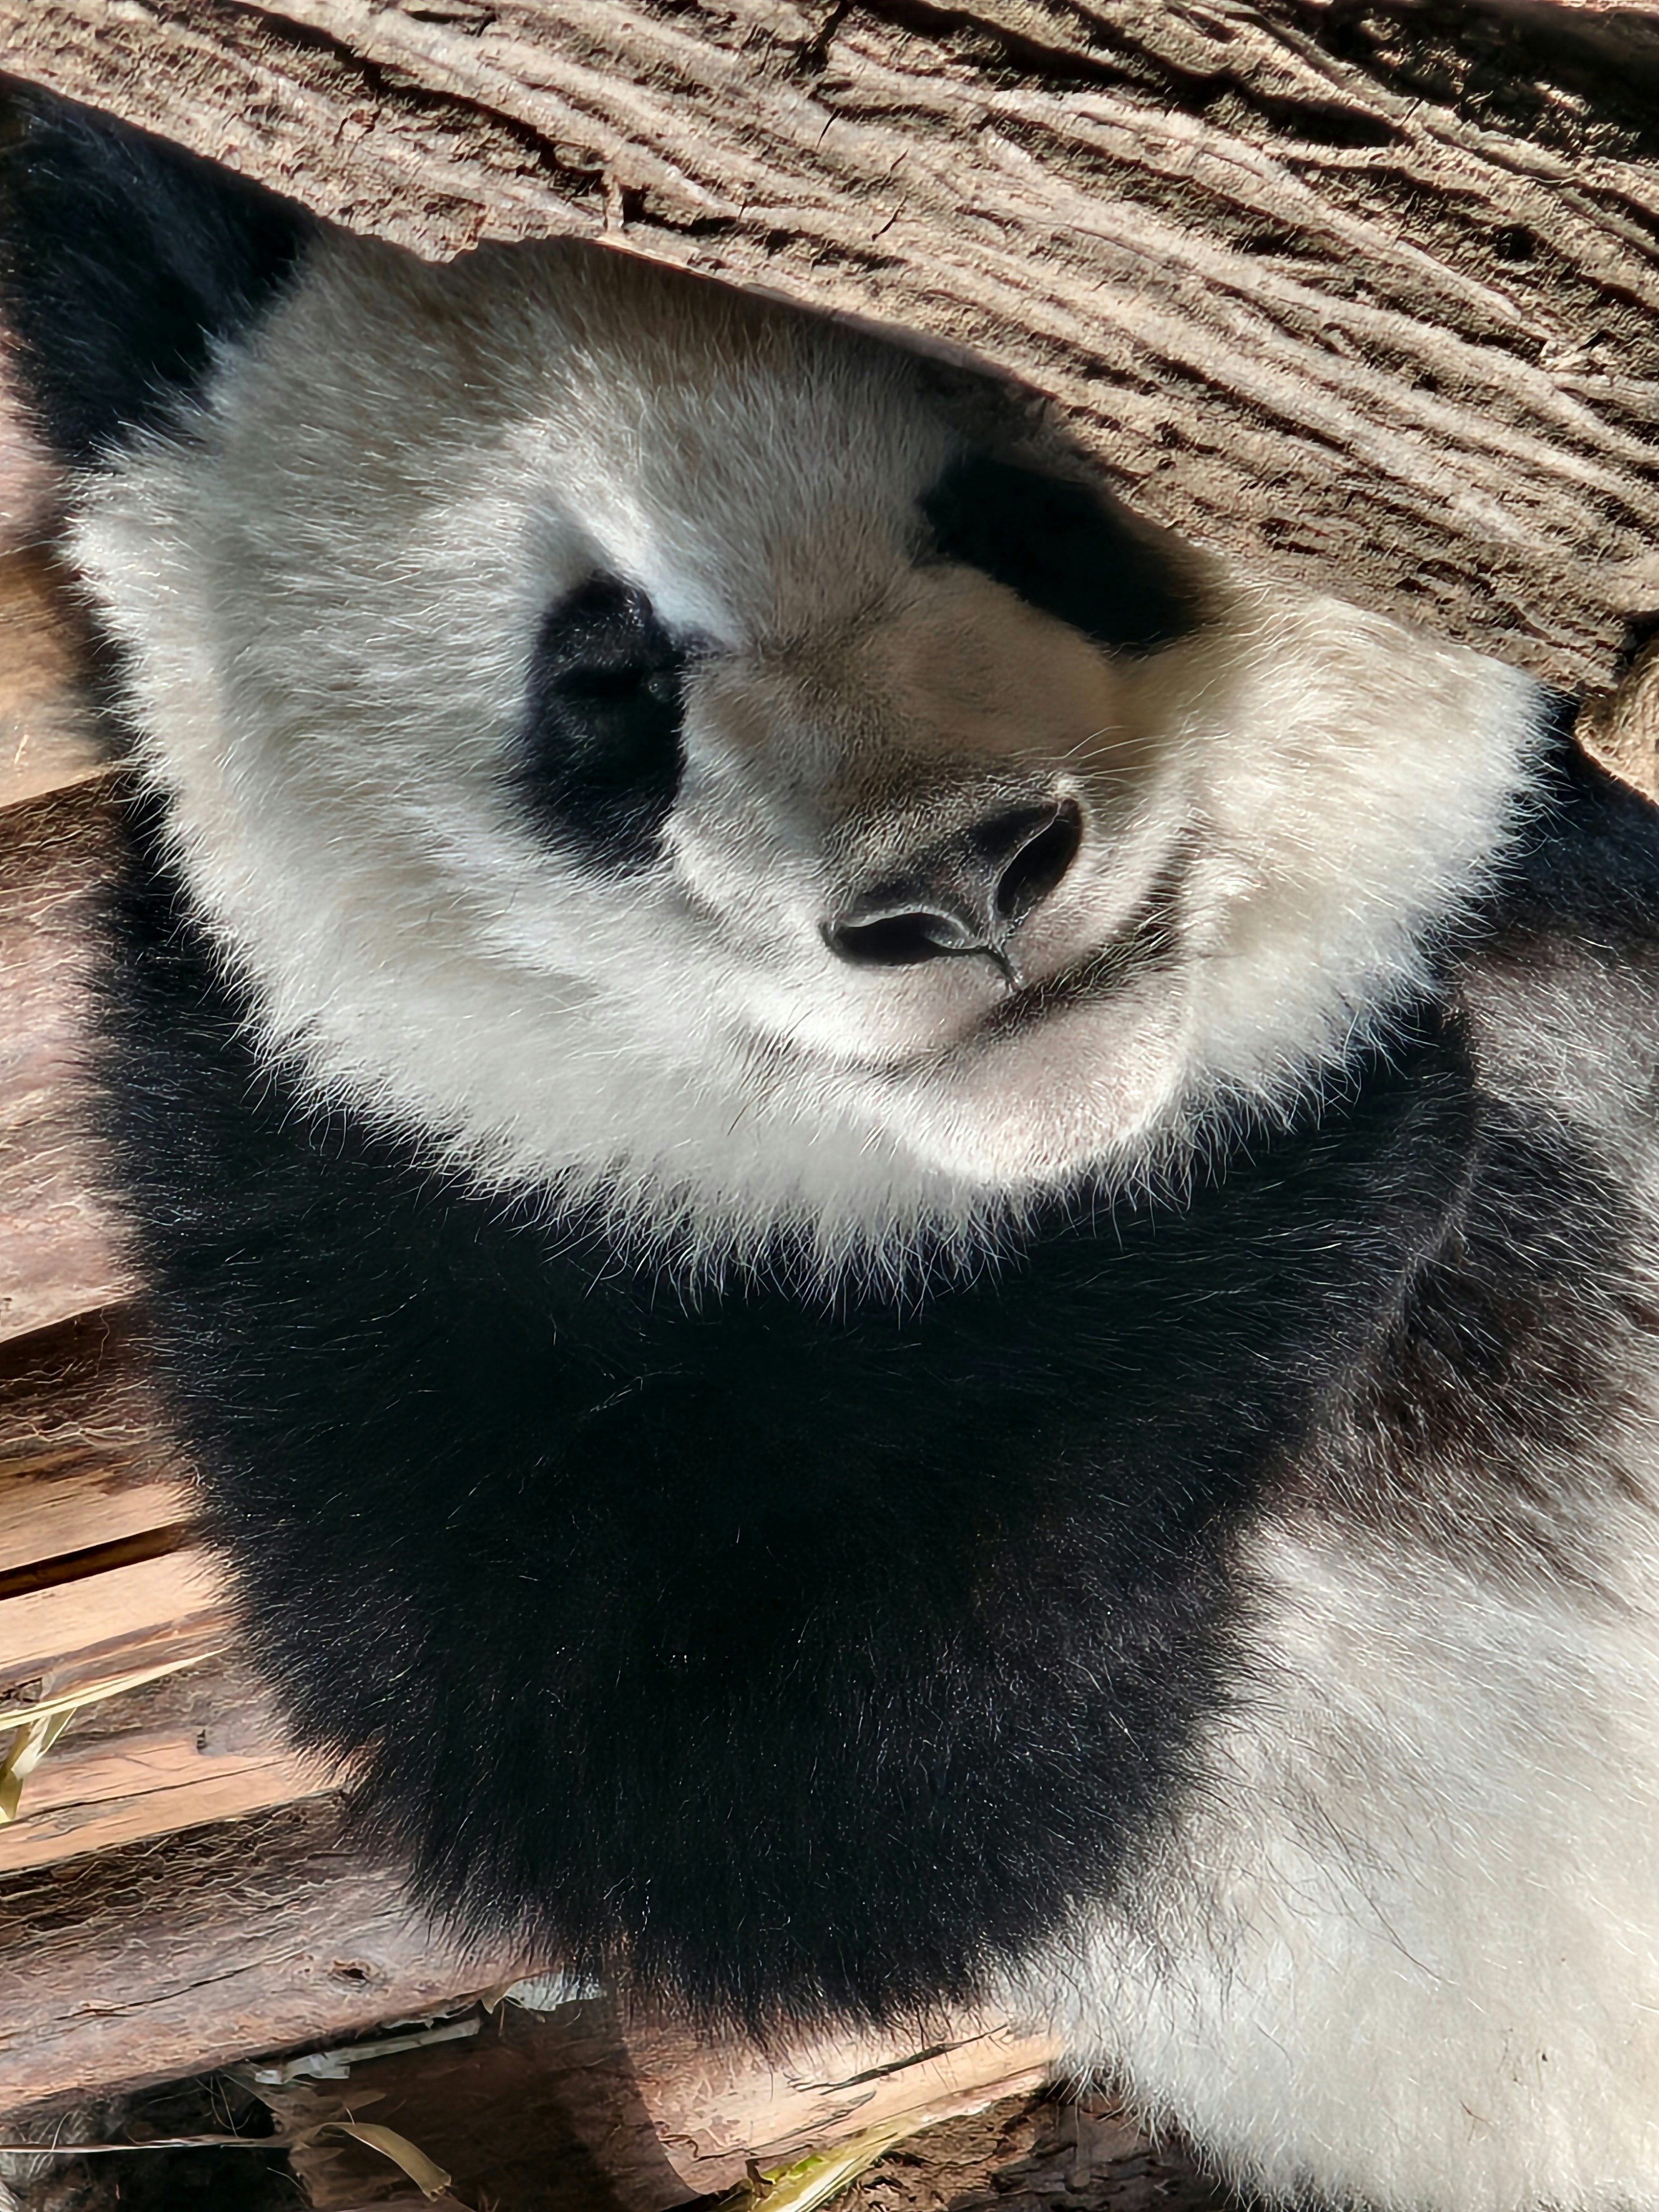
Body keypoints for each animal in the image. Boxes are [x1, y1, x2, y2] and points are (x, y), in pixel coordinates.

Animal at [8, 82, 1659, 2212]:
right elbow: (728, 1789)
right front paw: (1335, 1179)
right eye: (604, 680)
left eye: (1046, 519)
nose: (959, 883)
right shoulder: (349, 1215)